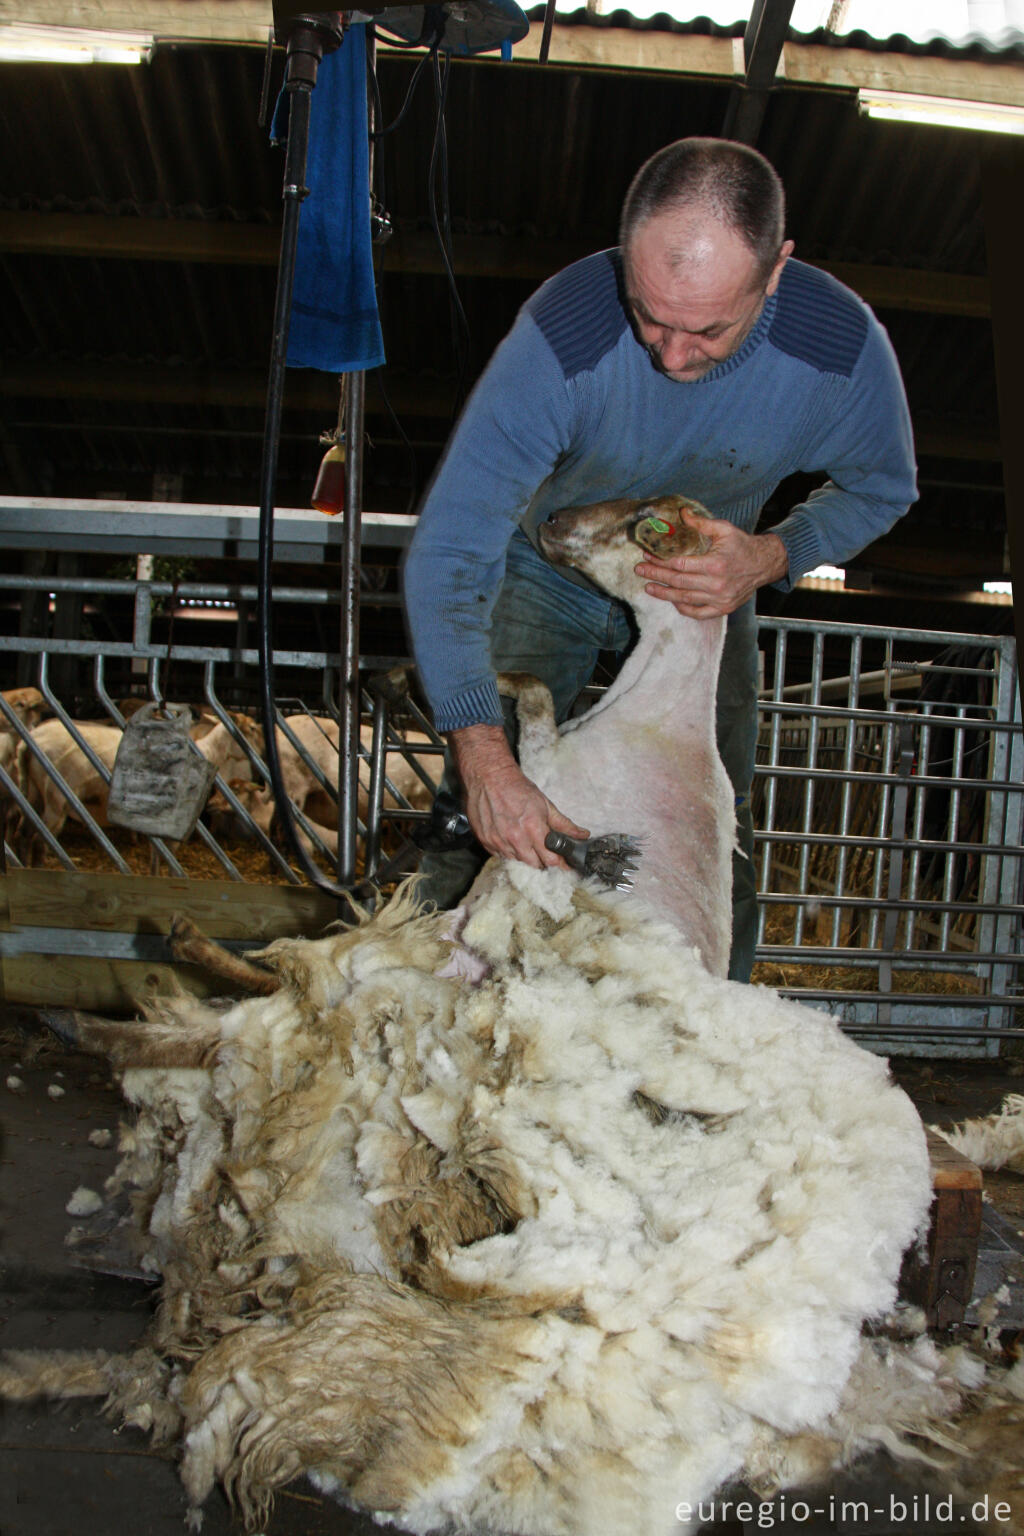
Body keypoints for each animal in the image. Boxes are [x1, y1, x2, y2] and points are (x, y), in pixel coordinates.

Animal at [2, 497, 1024, 1529]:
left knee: (257, 1019)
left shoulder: (547, 777)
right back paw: (151, 977)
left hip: (405, 999)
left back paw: (126, 1003)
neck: (655, 714)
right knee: (262, 1005)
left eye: (635, 521)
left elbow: (528, 698)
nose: (552, 519)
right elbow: (527, 695)